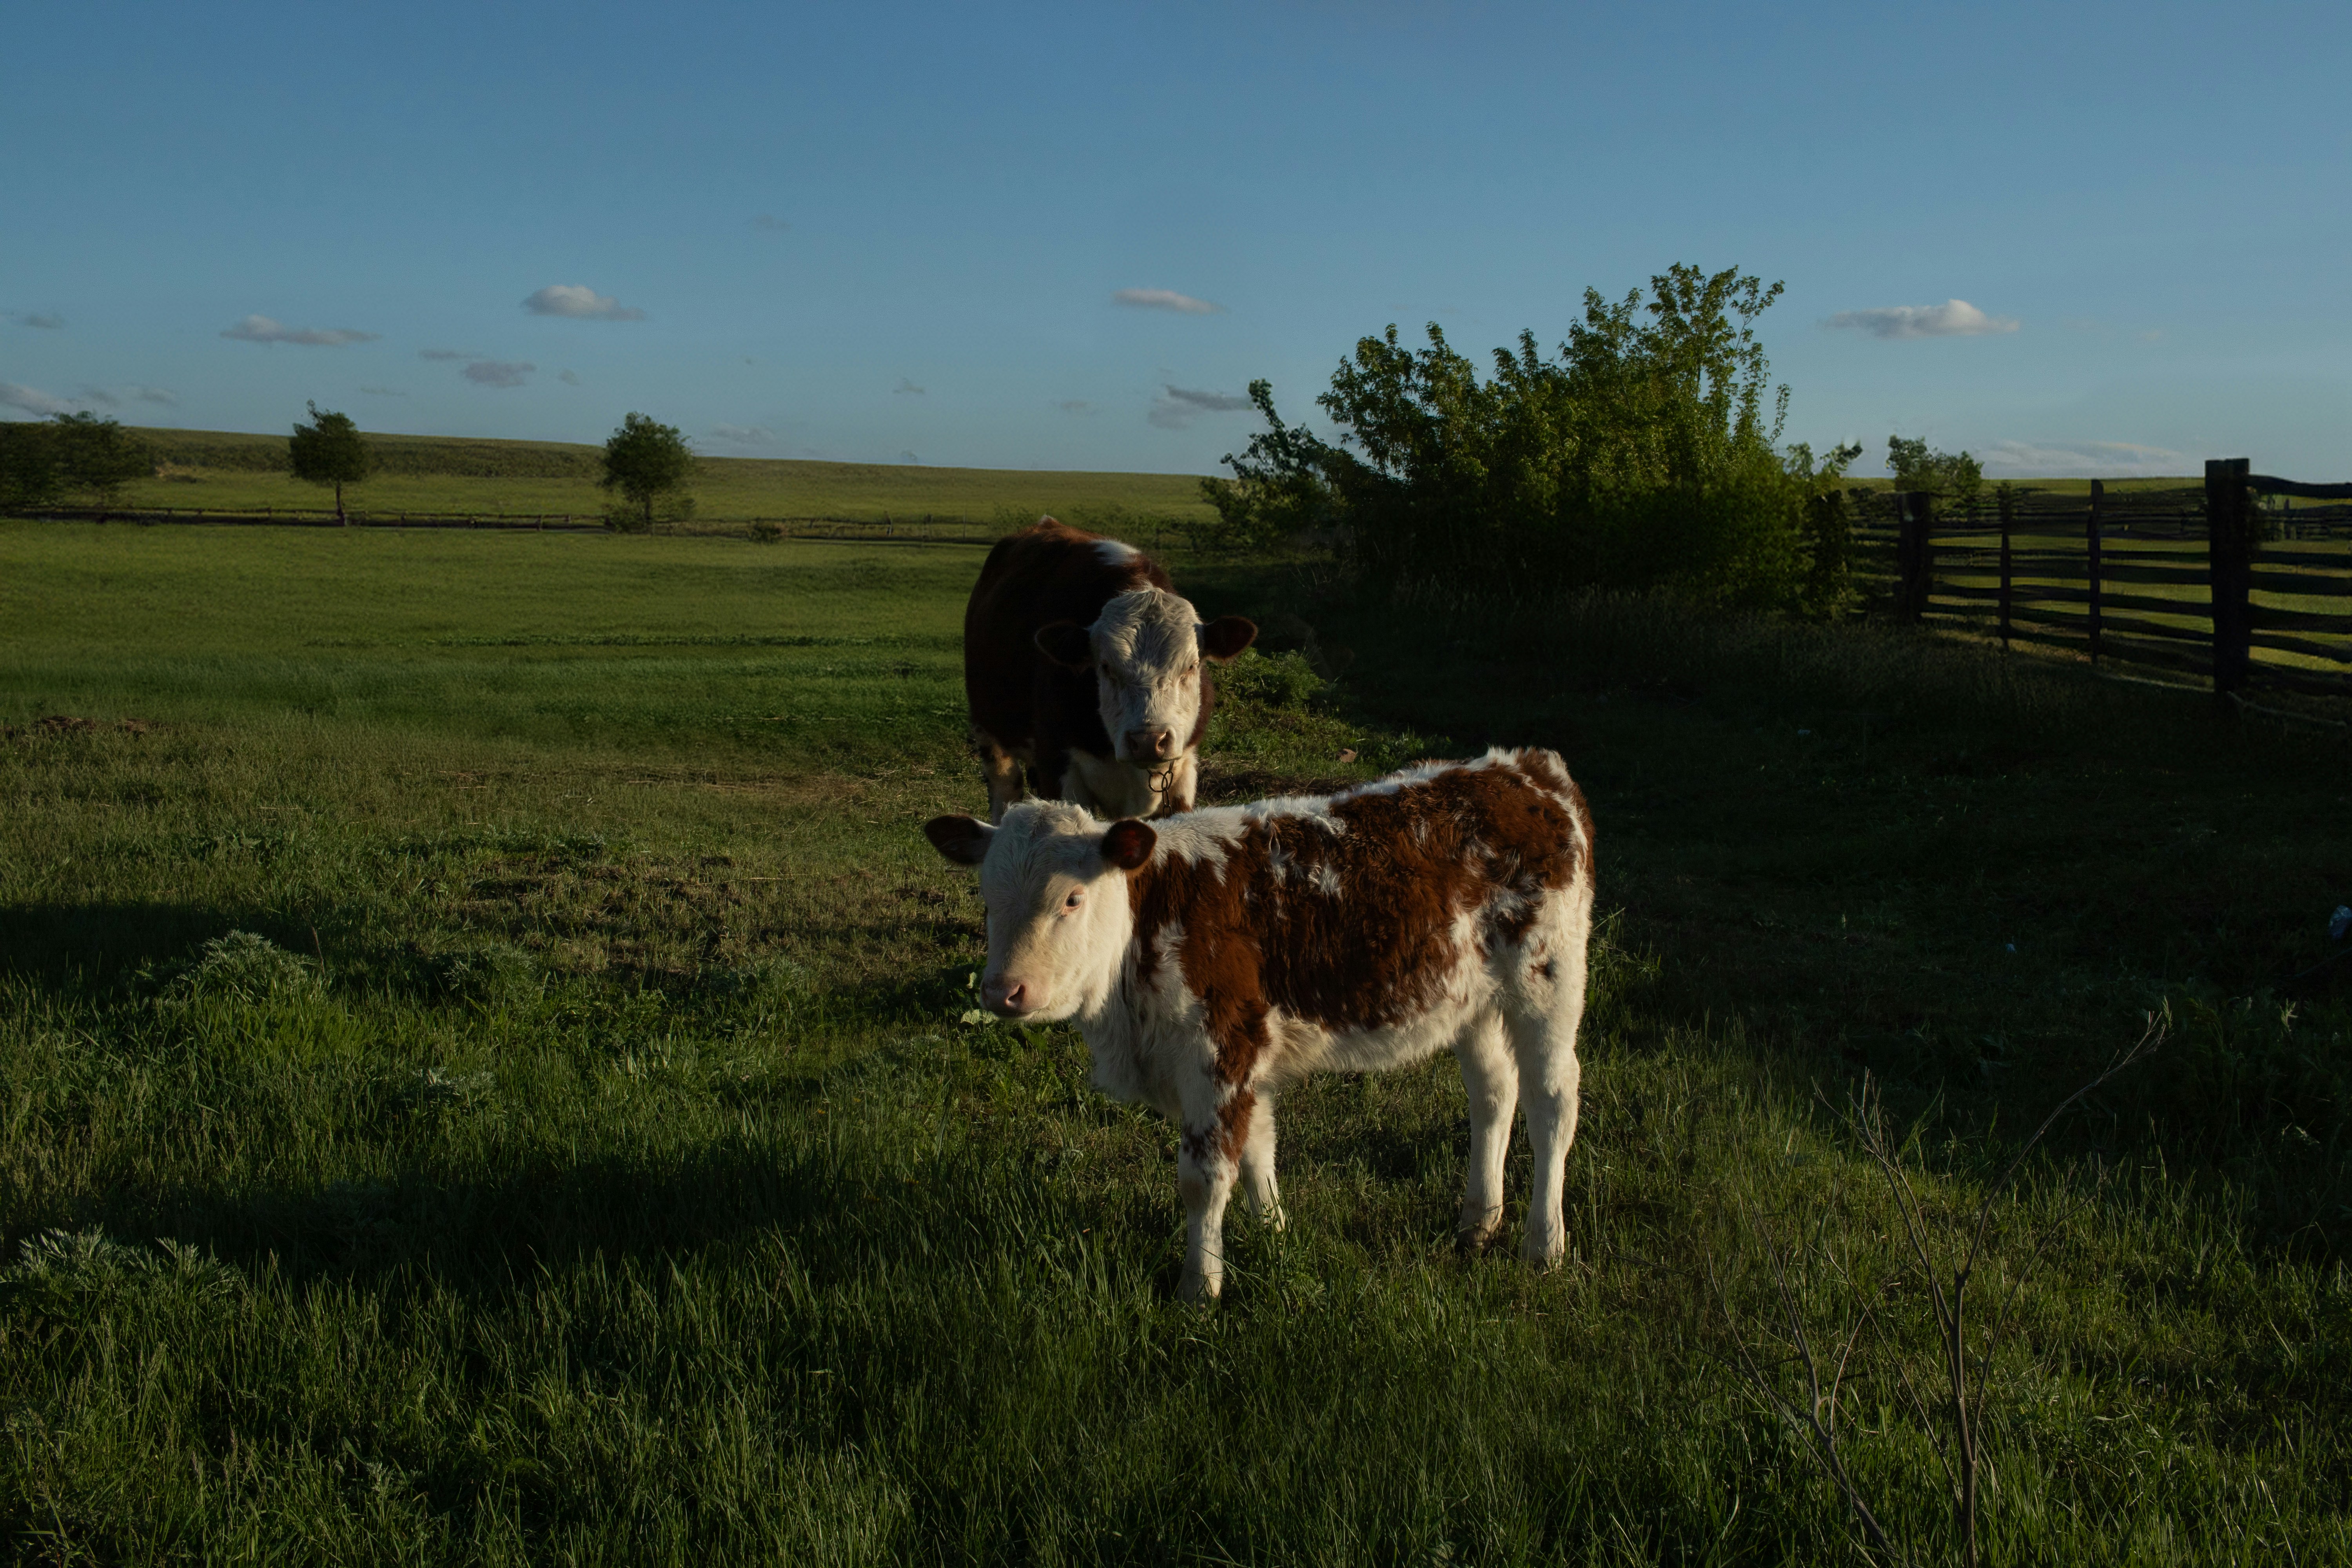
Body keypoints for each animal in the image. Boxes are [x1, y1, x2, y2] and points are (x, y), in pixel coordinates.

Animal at [922, 747, 1595, 1301]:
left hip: (1549, 980)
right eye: (988, 899)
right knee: (1493, 1093)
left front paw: (1200, 1287)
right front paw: (1272, 1231)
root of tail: (1523, 770)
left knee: (1552, 1104)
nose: (1003, 991)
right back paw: (1478, 1222)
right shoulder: (1244, 1058)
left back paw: (1544, 1244)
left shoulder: (1221, 1049)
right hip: (1473, 1000)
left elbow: (1204, 1178)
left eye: (1071, 899)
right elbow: (1257, 1149)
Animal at [963, 517, 1257, 824]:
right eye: (1105, 667)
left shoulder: (1183, 773)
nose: (1148, 741)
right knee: (1004, 787)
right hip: (988, 731)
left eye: (1191, 666)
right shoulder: (1057, 763)